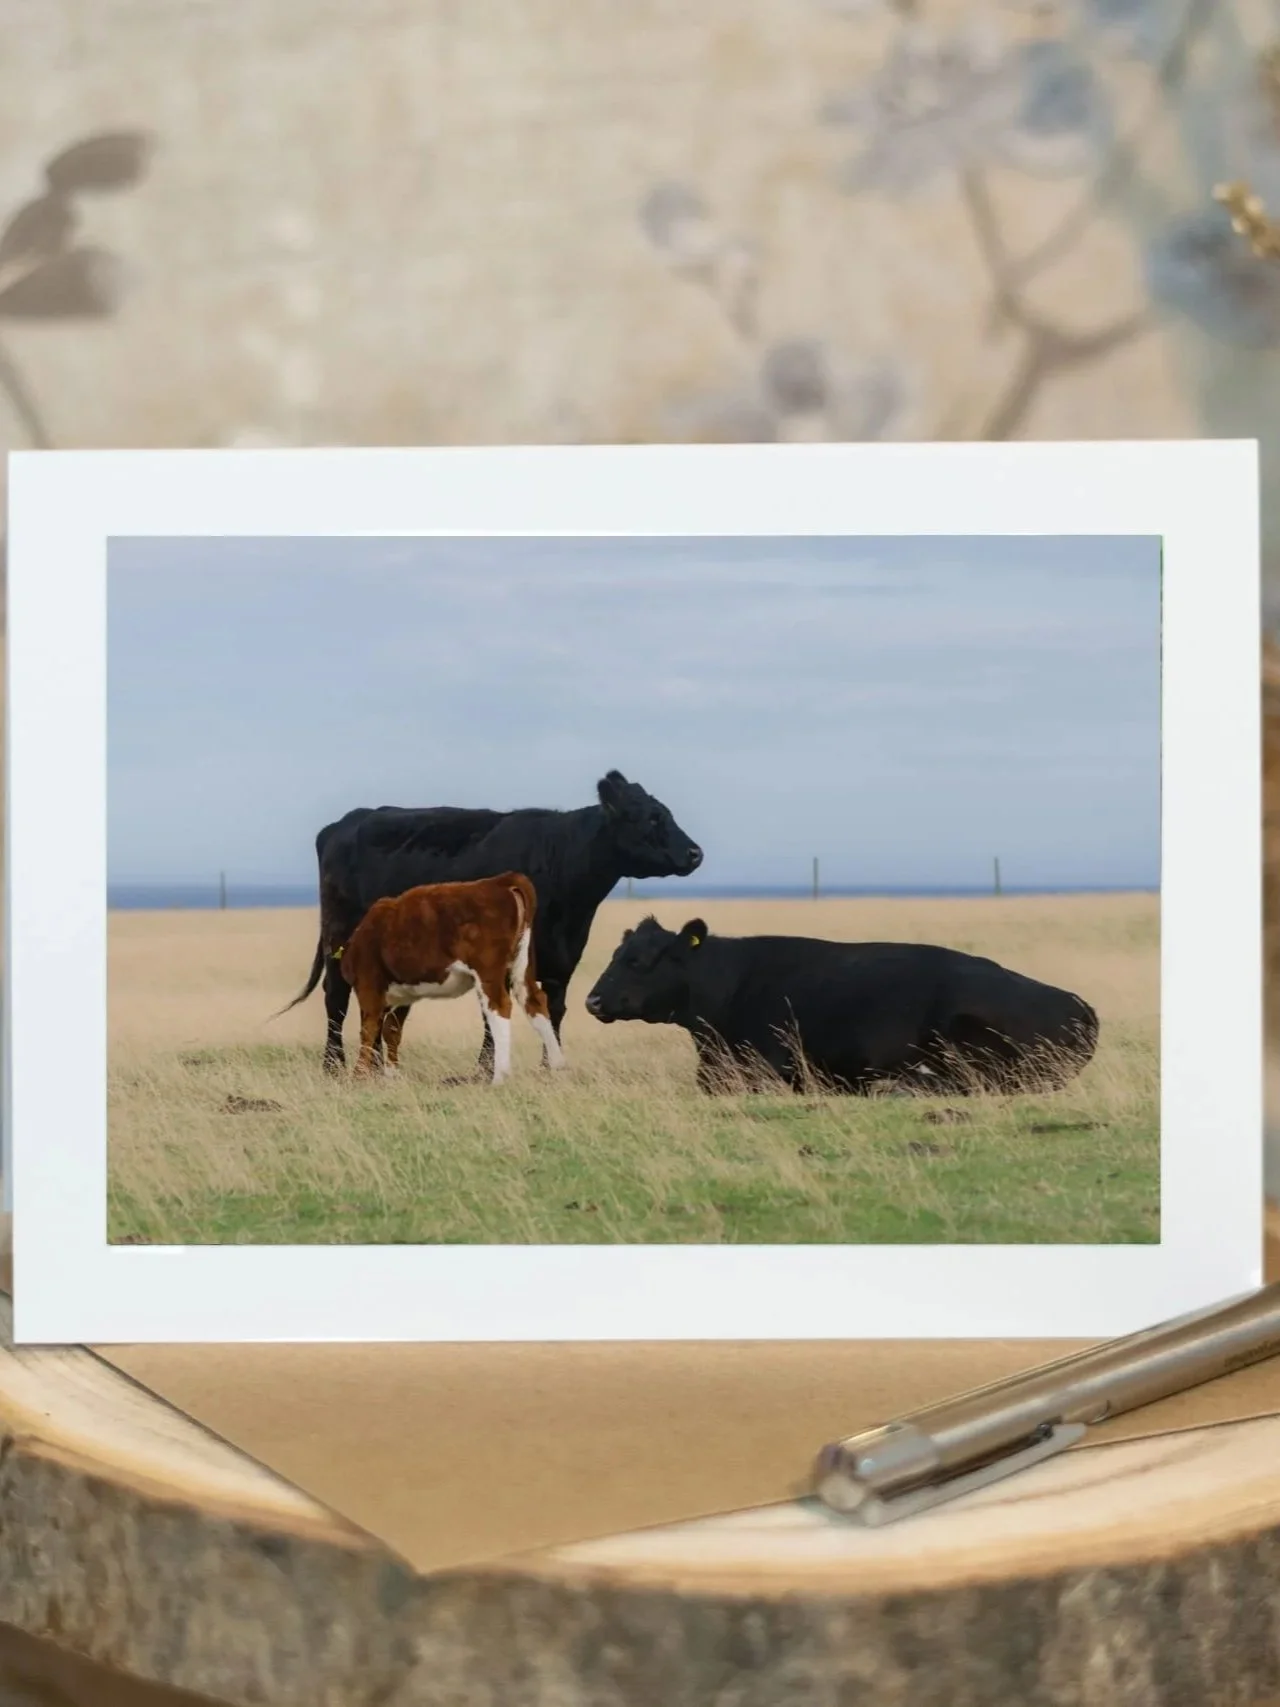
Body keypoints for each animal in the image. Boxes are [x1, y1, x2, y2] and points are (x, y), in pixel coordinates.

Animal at [337, 872, 562, 1084]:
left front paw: (358, 1076)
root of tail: (499, 881)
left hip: (488, 971)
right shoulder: (404, 995)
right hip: (523, 964)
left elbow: (368, 1030)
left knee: (499, 1006)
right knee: (535, 1002)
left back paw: (500, 1077)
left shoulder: (368, 984)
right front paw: (392, 1077)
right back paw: (558, 1067)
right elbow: (391, 1031)